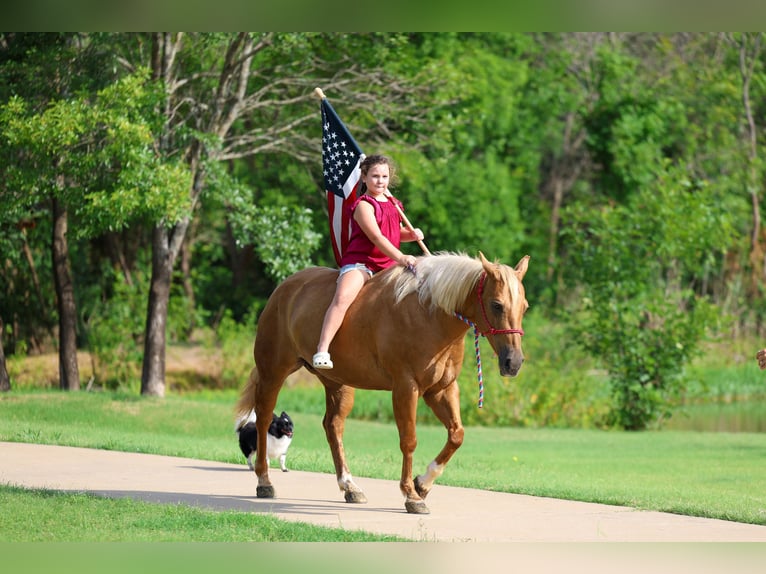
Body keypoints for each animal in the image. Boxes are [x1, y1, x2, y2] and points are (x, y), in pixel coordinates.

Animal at [236, 251, 530, 514]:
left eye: (524, 307)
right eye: (496, 304)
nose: (513, 362)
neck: (430, 315)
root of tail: (284, 288)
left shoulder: (441, 390)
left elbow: (456, 435)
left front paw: (423, 483)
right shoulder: (406, 388)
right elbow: (409, 440)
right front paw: (411, 495)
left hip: (338, 383)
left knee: (333, 426)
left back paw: (349, 486)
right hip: (273, 372)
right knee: (263, 417)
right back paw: (264, 481)